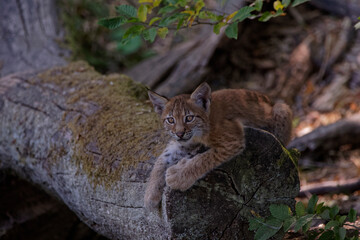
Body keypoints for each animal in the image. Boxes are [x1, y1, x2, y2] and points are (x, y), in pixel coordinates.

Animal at [143, 83, 292, 210]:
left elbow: (204, 159)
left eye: (189, 118)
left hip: (282, 107)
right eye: (170, 120)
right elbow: (162, 158)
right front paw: (150, 195)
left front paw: (178, 176)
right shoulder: (186, 142)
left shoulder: (232, 139)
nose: (179, 133)